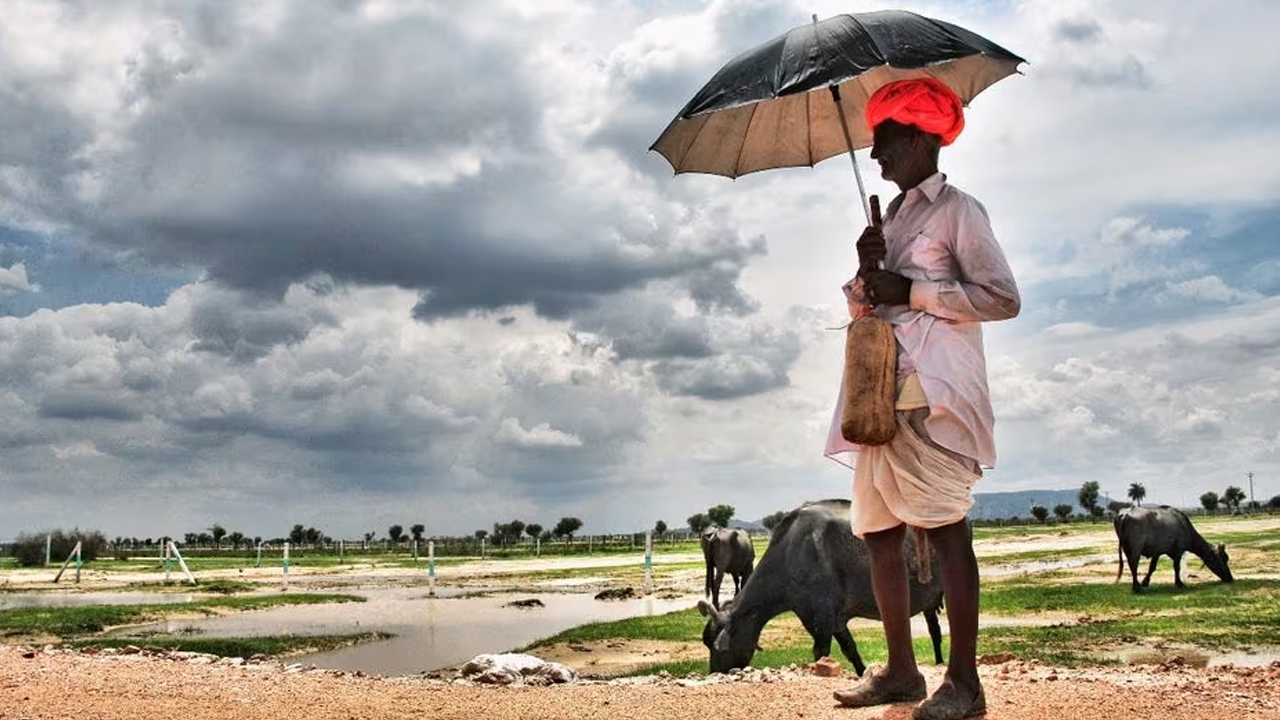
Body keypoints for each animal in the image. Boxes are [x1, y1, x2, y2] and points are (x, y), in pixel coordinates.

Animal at [696, 499, 947, 671]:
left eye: (718, 648)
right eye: (706, 644)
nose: (715, 673)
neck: (791, 553)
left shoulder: (823, 619)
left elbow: (822, 653)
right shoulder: (832, 620)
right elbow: (850, 650)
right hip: (929, 600)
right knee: (935, 631)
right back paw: (939, 662)